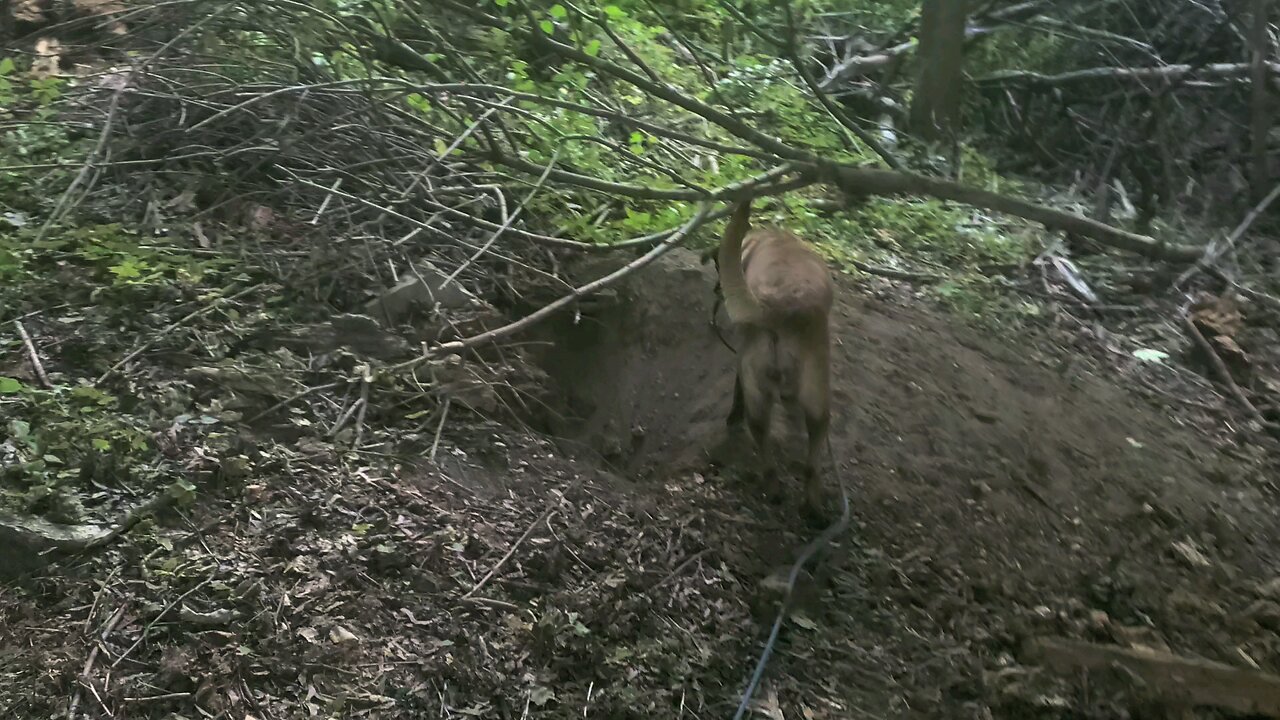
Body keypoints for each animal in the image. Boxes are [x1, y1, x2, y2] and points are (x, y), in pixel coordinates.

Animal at [716, 196, 834, 509]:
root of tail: (775, 309)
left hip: (761, 388)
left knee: (761, 435)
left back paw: (775, 488)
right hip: (818, 399)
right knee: (812, 458)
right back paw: (812, 503)